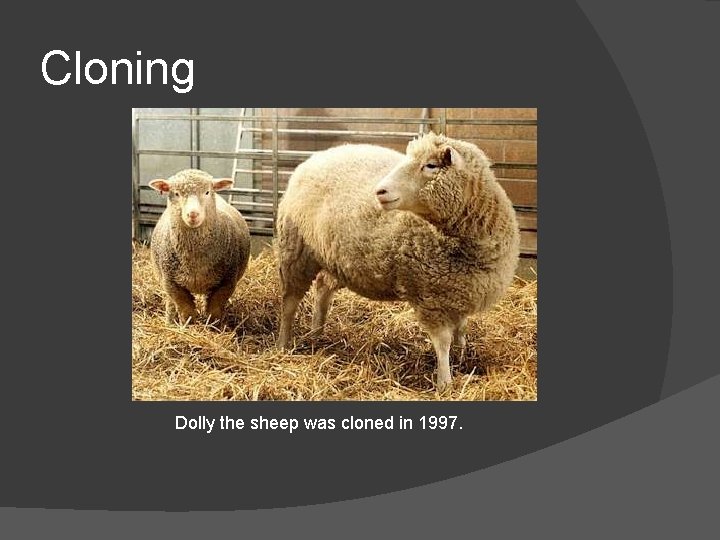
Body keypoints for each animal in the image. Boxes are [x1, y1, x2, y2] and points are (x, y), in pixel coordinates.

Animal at [148, 168, 251, 325]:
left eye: (207, 192)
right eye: (176, 193)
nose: (193, 214)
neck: (195, 260)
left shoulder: (226, 282)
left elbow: (215, 310)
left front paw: (214, 327)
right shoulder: (172, 283)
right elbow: (186, 311)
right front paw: (188, 326)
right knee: (170, 303)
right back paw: (170, 322)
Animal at [275, 132, 520, 392]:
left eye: (431, 166)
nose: (380, 191)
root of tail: (314, 158)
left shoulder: (460, 292)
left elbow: (461, 329)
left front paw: (462, 357)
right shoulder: (430, 297)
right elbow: (442, 341)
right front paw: (445, 382)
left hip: (336, 258)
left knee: (322, 288)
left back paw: (317, 333)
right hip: (296, 252)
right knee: (289, 302)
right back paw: (283, 344)